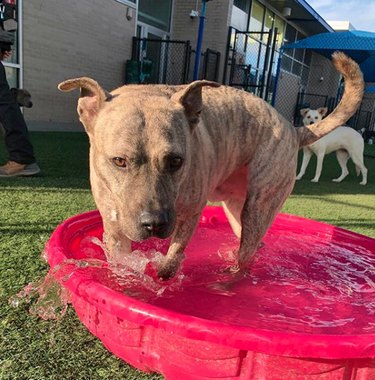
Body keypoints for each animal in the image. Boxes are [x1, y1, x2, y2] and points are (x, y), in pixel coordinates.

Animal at [58, 52, 364, 280]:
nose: (154, 223)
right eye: (119, 161)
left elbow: (175, 253)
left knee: (246, 256)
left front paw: (164, 271)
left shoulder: (192, 211)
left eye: (176, 161)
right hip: (236, 211)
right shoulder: (114, 228)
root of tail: (294, 128)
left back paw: (228, 279)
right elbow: (121, 259)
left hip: (259, 205)